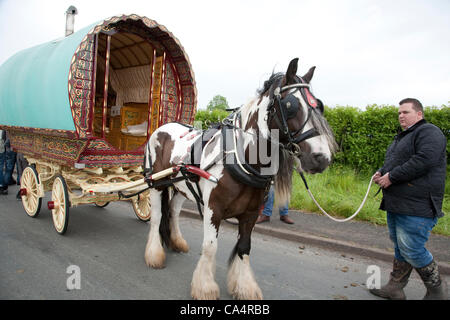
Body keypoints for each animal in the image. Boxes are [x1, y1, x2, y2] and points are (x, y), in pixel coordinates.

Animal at [142, 58, 336, 300]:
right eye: (291, 106)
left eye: (318, 105)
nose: (322, 158)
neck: (242, 157)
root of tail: (163, 126)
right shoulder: (213, 210)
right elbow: (210, 247)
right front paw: (205, 287)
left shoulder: (251, 213)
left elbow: (244, 247)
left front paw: (245, 287)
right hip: (156, 184)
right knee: (157, 217)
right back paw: (154, 254)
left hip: (181, 186)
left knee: (174, 213)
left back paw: (177, 242)